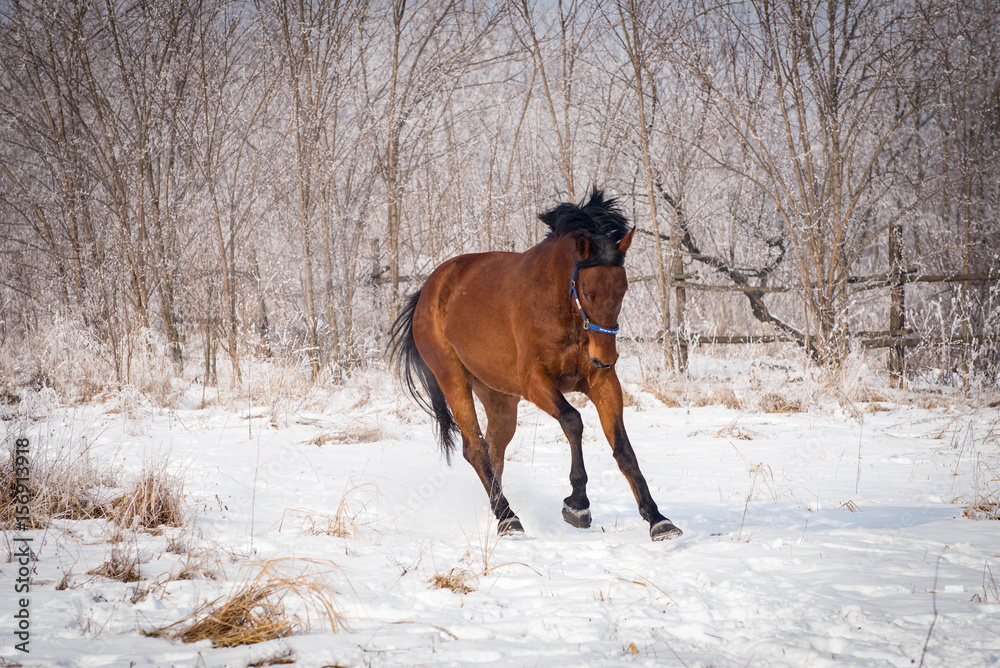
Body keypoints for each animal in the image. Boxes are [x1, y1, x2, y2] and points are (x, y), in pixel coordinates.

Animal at [389, 189, 682, 542]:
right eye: (587, 292)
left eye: (623, 290)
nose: (604, 358)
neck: (559, 305)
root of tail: (427, 291)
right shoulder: (536, 382)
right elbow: (572, 421)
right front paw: (577, 505)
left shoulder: (602, 382)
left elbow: (623, 447)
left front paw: (657, 519)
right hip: (453, 380)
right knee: (475, 448)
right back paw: (508, 518)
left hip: (499, 398)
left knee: (494, 450)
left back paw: (499, 511)